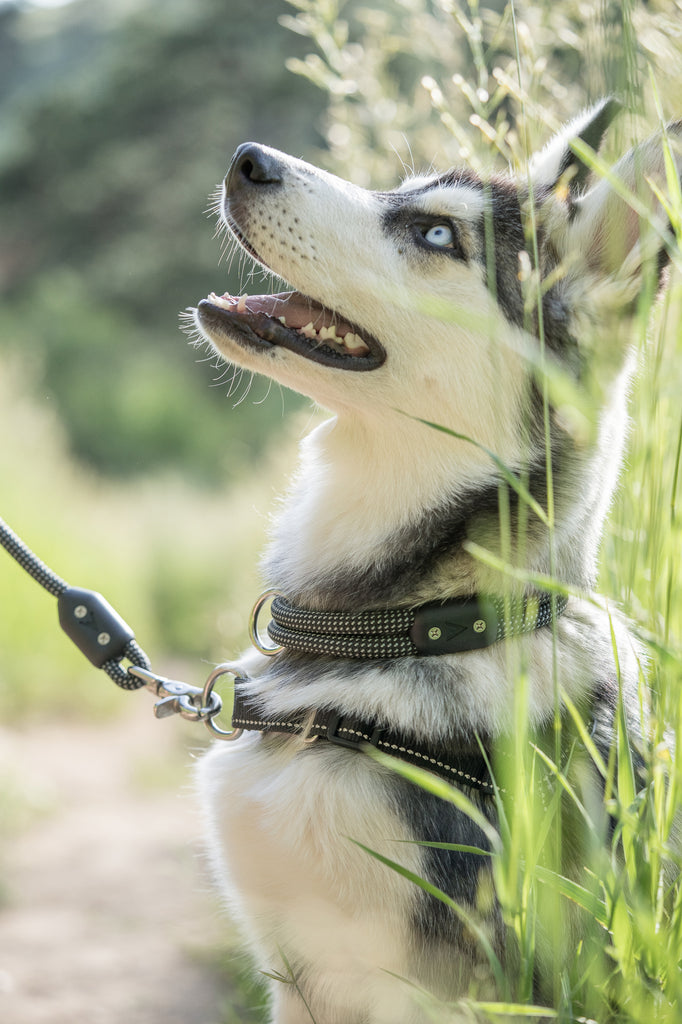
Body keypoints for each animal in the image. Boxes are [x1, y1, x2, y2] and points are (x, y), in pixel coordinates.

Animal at [191, 97, 679, 1024]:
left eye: (437, 234)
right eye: (404, 191)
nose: (244, 159)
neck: (418, 626)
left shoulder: (434, 990)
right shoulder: (293, 981)